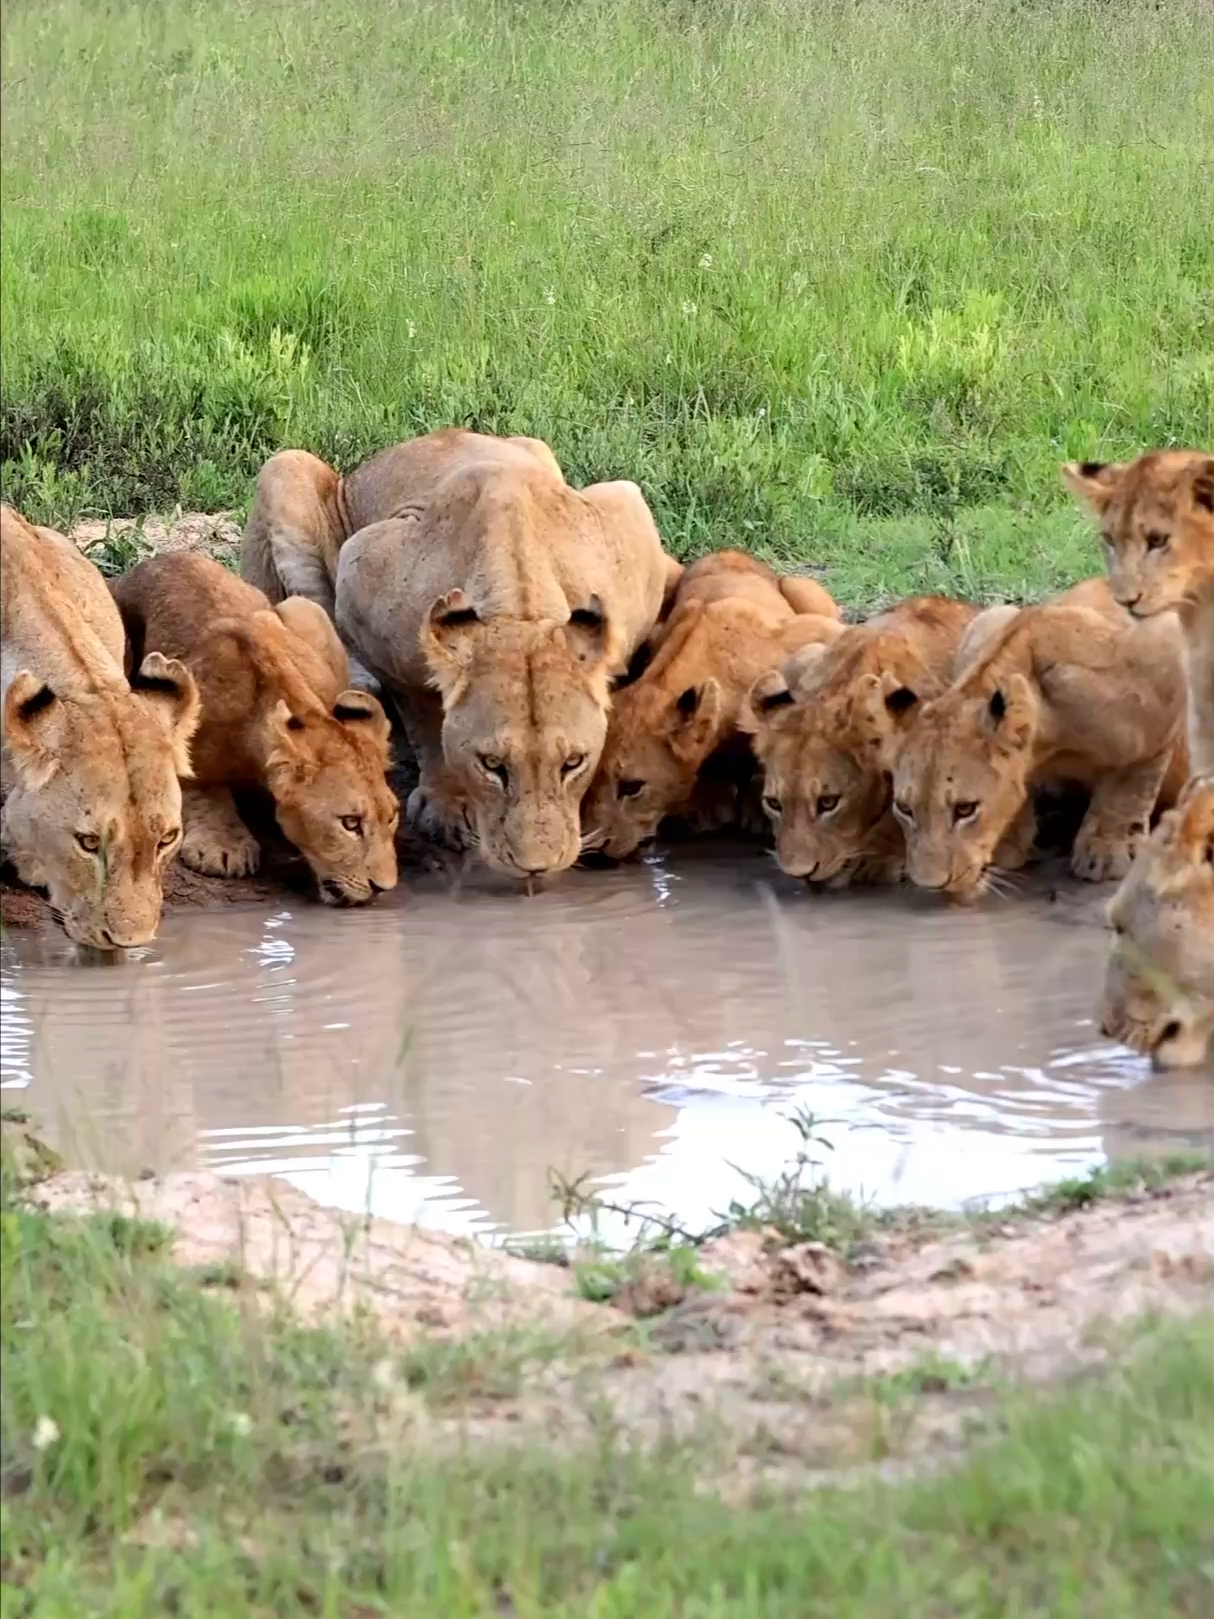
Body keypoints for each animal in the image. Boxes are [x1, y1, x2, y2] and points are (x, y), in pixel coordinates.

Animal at [111, 554, 398, 905]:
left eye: (392, 816)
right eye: (350, 823)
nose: (383, 887)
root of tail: (158, 558)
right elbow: (205, 790)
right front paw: (223, 846)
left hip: (304, 608)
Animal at [242, 430, 679, 879]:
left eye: (573, 763)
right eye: (492, 765)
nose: (536, 869)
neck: (519, 607)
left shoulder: (627, 506)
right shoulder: (361, 570)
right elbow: (423, 718)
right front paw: (445, 806)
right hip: (285, 468)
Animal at [580, 552, 844, 859]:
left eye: (632, 787)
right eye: (591, 777)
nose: (595, 850)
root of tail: (730, 551)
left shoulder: (806, 634)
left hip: (799, 586)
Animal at [890, 576, 1188, 902]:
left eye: (965, 809)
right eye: (904, 808)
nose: (930, 885)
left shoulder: (1162, 664)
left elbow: (1134, 781)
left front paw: (1108, 849)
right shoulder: (986, 623)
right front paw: (1009, 840)